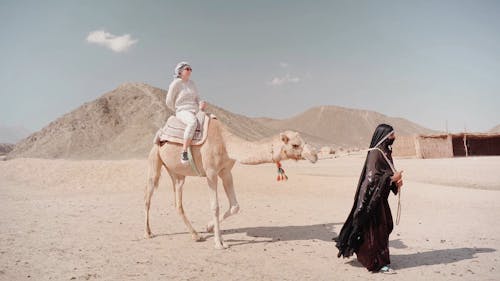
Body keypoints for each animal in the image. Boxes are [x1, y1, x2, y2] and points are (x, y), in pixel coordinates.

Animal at [144, 117, 316, 248]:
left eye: (304, 141)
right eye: (295, 144)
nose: (314, 155)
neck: (226, 143)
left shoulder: (226, 172)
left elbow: (235, 206)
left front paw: (209, 227)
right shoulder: (211, 173)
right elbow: (215, 206)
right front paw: (219, 243)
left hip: (178, 174)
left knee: (178, 202)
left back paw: (196, 235)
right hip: (154, 159)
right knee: (148, 196)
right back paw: (148, 233)